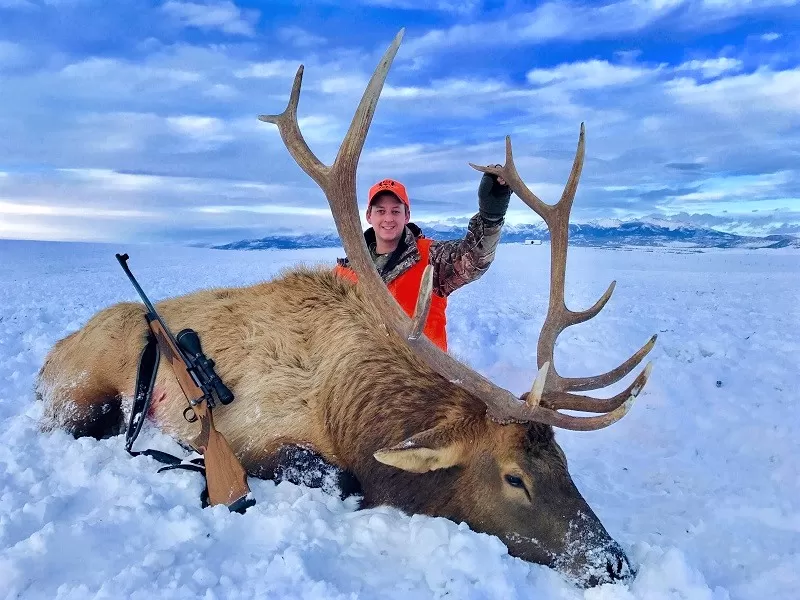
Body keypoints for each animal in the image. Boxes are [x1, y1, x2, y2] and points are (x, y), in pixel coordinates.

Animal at [39, 30, 656, 588]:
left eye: (565, 463)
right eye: (514, 478)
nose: (613, 562)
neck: (351, 407)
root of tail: (53, 353)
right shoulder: (254, 432)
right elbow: (340, 479)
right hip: (79, 395)